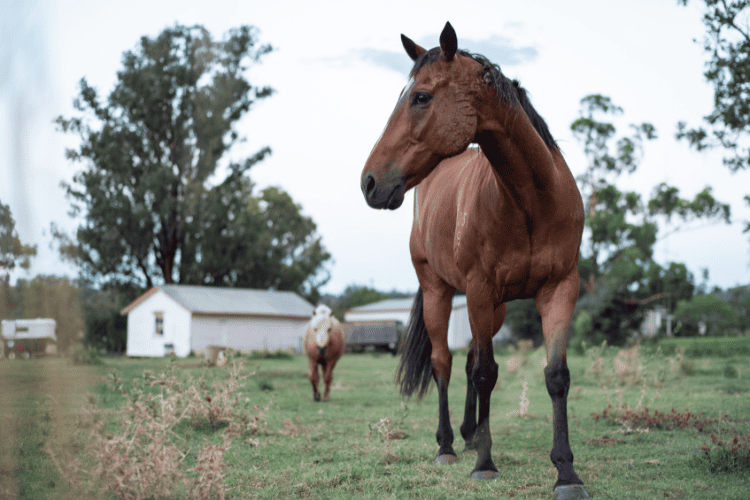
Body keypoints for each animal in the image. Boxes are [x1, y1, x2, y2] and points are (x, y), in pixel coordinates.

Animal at [362, 21, 592, 498]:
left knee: (466, 362)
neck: (531, 201)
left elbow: (555, 376)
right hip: (440, 292)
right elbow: (486, 373)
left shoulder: (559, 288)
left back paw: (469, 435)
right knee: (445, 364)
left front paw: (566, 472)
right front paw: (486, 464)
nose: (370, 182)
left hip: (492, 307)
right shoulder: (480, 289)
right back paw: (448, 445)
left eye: (421, 97)